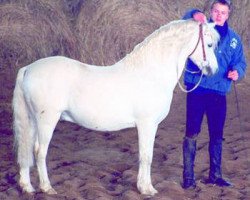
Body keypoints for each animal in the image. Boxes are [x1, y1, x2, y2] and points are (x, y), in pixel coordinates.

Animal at [13, 19, 219, 196]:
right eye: (209, 45)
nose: (214, 70)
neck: (150, 73)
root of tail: (28, 68)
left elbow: (145, 156)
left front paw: (143, 186)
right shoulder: (147, 125)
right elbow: (147, 156)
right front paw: (147, 189)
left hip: (32, 121)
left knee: (26, 148)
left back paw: (27, 187)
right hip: (47, 120)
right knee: (39, 151)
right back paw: (47, 188)